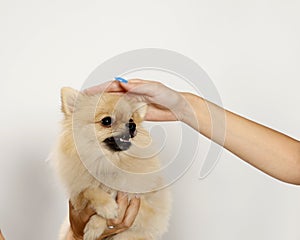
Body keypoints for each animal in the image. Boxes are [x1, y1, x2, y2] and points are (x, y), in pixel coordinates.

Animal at [54, 86, 171, 240]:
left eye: (131, 119)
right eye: (106, 121)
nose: (132, 125)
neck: (110, 161)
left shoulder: (147, 208)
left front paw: (95, 226)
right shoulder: (78, 197)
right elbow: (89, 189)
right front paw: (107, 207)